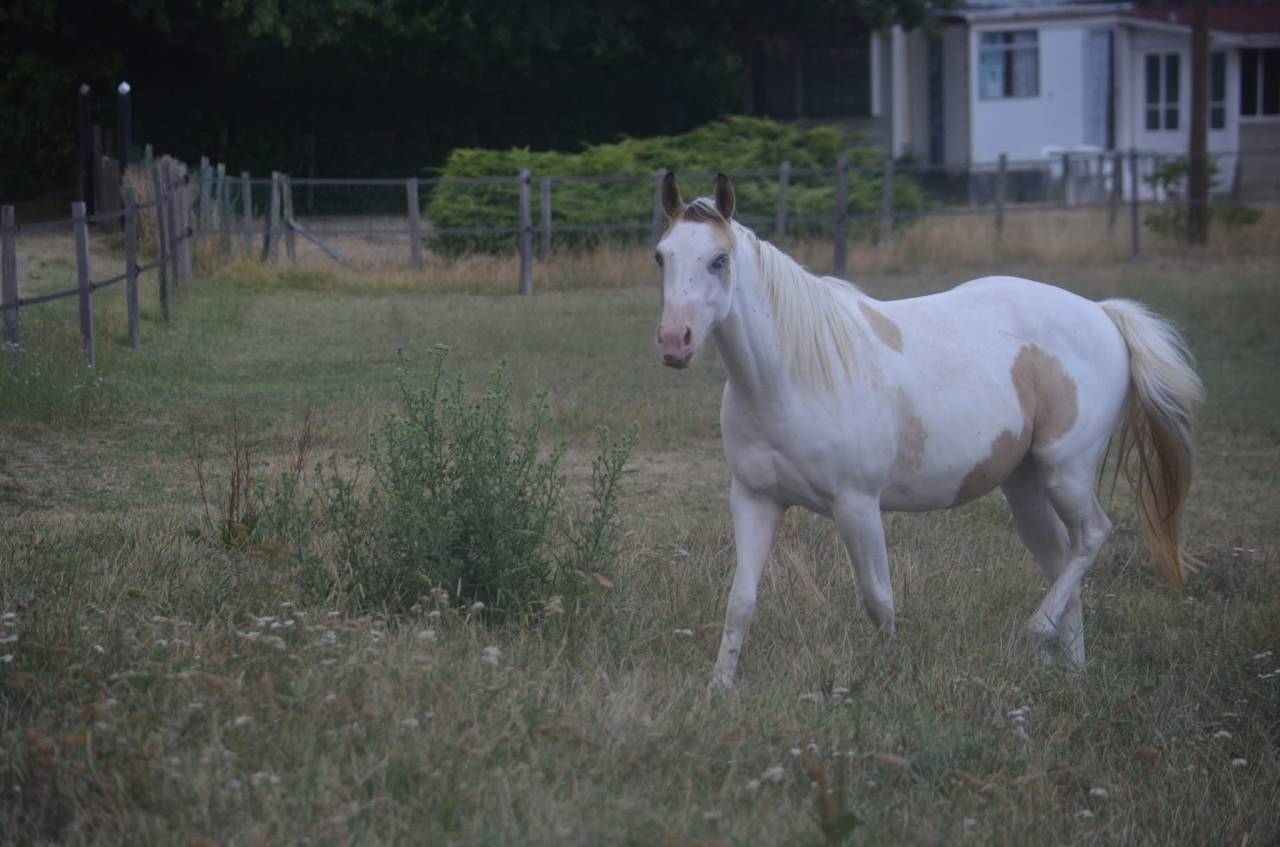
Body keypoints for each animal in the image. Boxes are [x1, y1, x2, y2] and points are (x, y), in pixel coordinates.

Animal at [652, 172, 1204, 691]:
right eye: (661, 257)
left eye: (719, 260)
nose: (674, 342)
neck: (790, 376)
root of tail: (1102, 314)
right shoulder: (754, 499)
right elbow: (741, 600)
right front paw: (719, 687)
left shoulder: (857, 506)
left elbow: (878, 601)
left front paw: (891, 675)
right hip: (1025, 487)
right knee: (1060, 557)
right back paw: (1070, 668)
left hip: (1065, 472)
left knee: (1091, 536)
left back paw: (1039, 632)